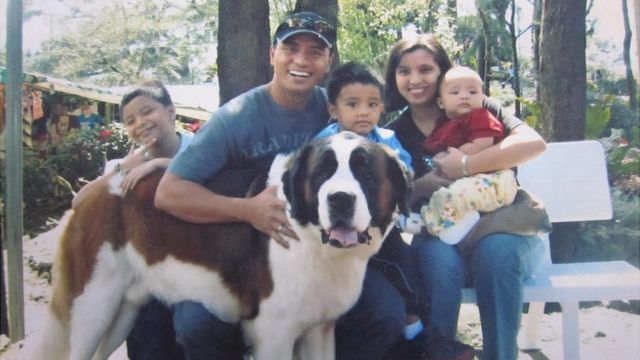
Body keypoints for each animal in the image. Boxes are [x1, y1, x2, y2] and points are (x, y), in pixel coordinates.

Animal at [31, 131, 410, 360]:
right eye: (321, 175)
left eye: (366, 174)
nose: (340, 200)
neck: (313, 241)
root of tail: (94, 188)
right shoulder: (273, 332)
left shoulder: (318, 330)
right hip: (92, 305)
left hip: (122, 310)